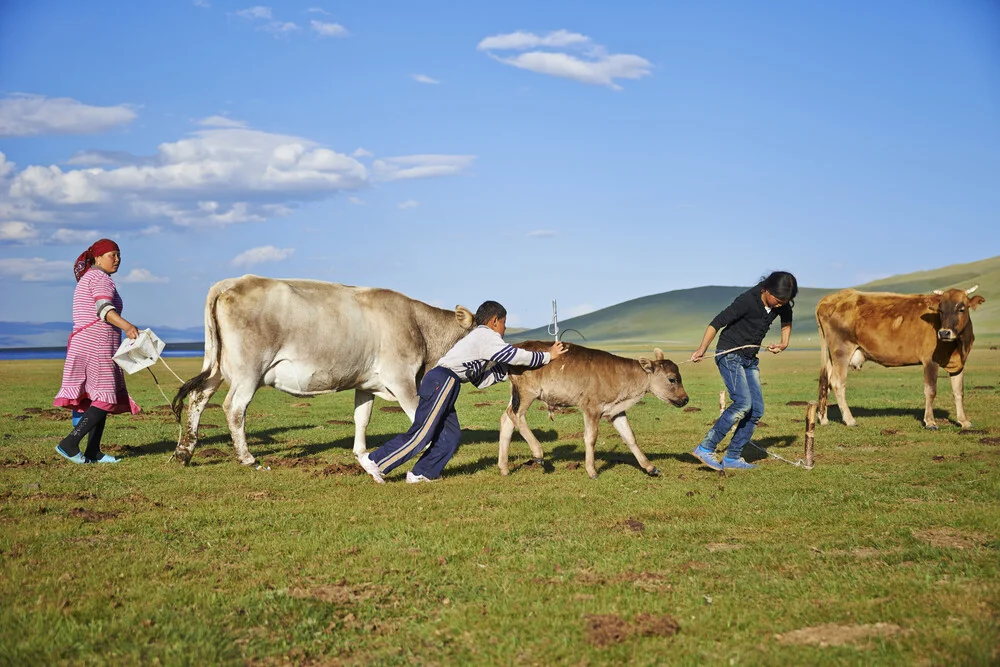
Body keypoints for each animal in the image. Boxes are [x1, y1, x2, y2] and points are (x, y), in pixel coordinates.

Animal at [170, 276, 474, 464]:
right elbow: (417, 416)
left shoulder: (366, 383)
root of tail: (234, 282)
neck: (419, 325)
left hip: (216, 366)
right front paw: (427, 448)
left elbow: (361, 418)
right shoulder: (401, 378)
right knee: (234, 407)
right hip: (248, 371)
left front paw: (360, 453)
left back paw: (184, 451)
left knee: (198, 397)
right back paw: (246, 457)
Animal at [498, 342, 688, 478]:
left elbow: (630, 437)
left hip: (516, 395)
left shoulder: (616, 410)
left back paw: (504, 467)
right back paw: (537, 452)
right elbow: (591, 437)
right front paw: (592, 470)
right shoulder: (592, 408)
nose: (686, 399)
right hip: (527, 392)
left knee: (506, 419)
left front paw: (649, 467)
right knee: (515, 415)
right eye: (672, 379)